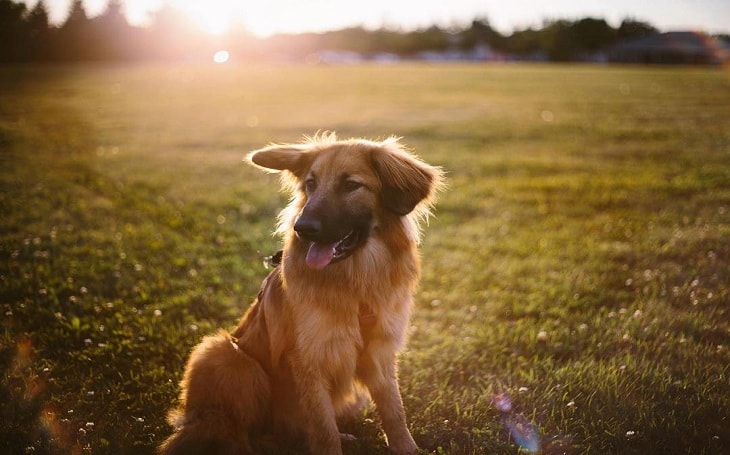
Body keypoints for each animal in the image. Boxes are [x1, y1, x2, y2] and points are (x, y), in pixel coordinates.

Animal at [159, 134, 440, 454]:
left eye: (351, 185)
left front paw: (406, 447)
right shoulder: (309, 360)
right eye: (310, 184)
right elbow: (323, 428)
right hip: (226, 354)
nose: (302, 228)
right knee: (234, 432)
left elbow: (394, 412)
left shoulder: (379, 352)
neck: (354, 285)